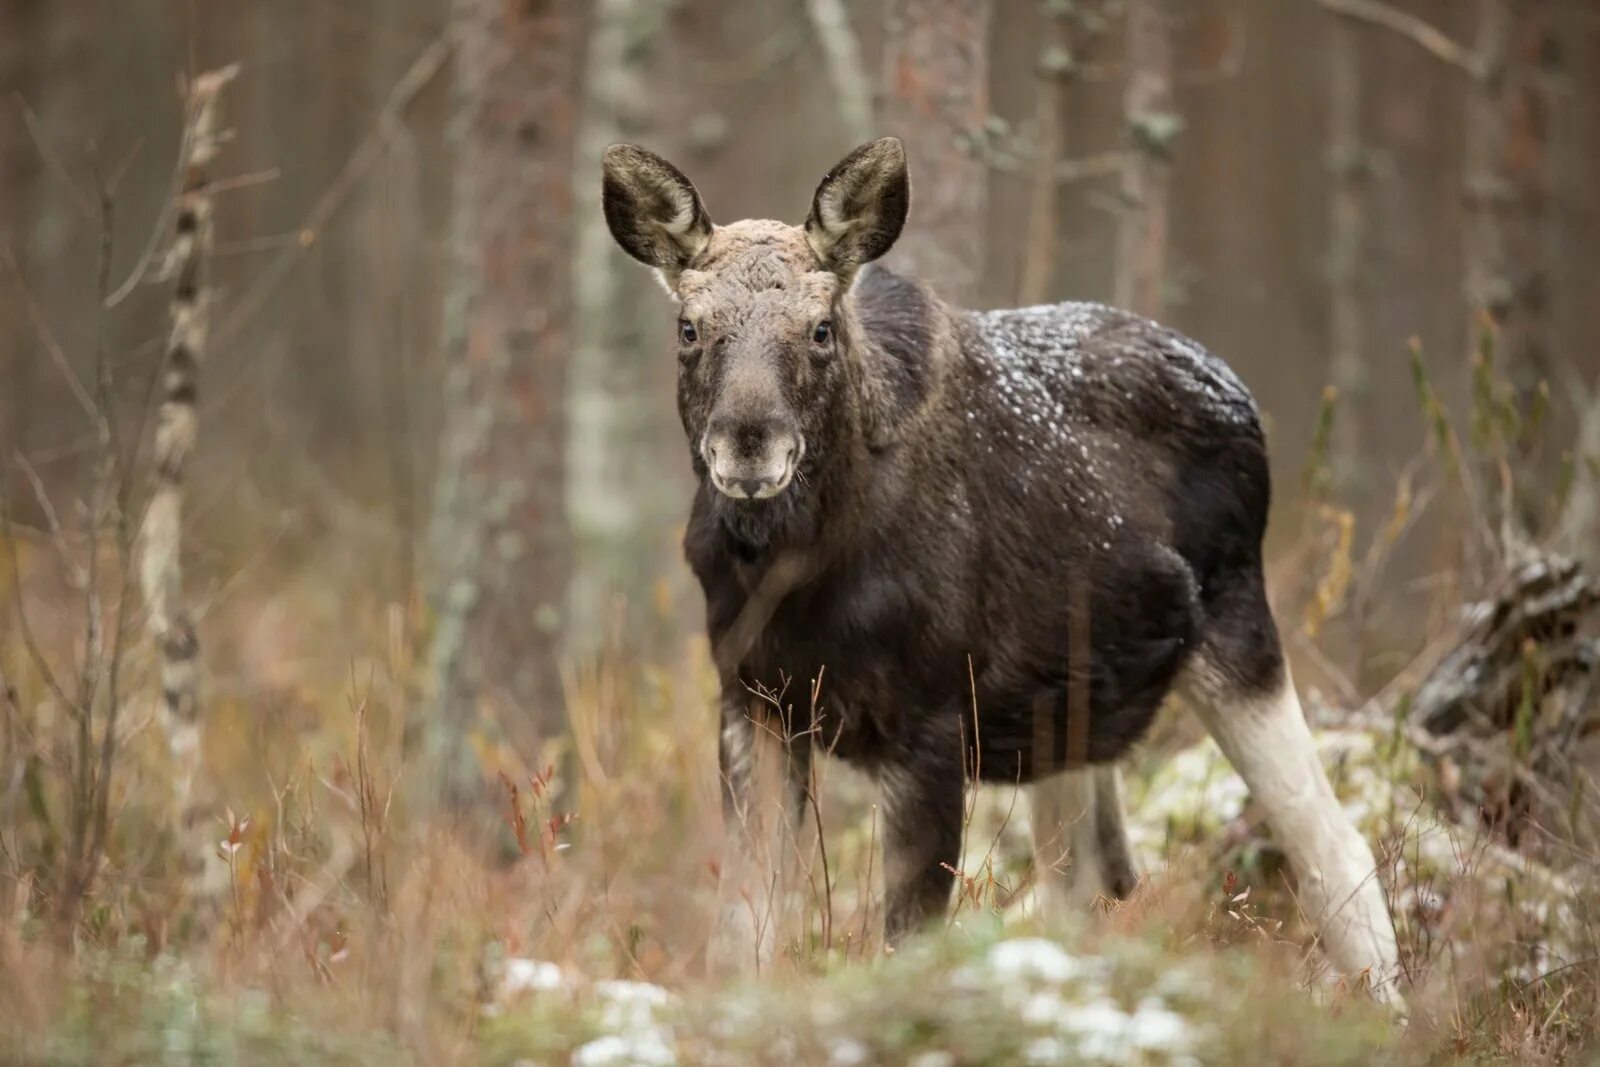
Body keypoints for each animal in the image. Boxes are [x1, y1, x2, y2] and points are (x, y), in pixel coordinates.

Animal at [601, 135, 1401, 1004]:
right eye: (689, 326)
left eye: (819, 328)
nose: (749, 444)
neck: (800, 574)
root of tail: (1239, 394)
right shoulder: (755, 701)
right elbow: (740, 937)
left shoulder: (932, 717)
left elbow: (906, 940)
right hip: (1076, 714)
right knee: (1096, 879)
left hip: (1238, 630)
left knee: (1338, 851)